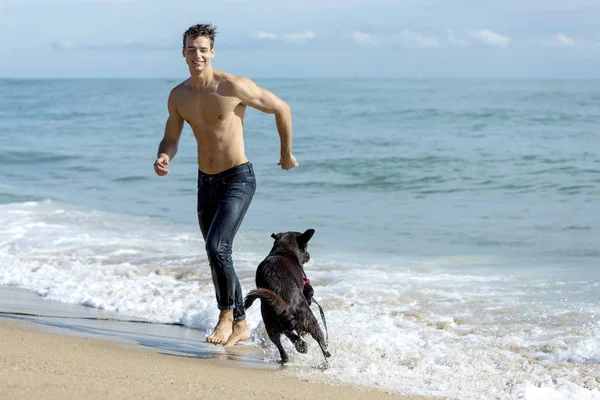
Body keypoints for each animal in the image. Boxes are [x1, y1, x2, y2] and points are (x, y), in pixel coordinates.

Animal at [241, 230, 330, 364]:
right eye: (305, 247)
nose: (309, 255)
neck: (283, 251)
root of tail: (285, 305)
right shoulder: (306, 287)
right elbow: (310, 293)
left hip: (270, 324)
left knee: (281, 342)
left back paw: (297, 348)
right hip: (309, 319)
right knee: (319, 339)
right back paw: (327, 357)